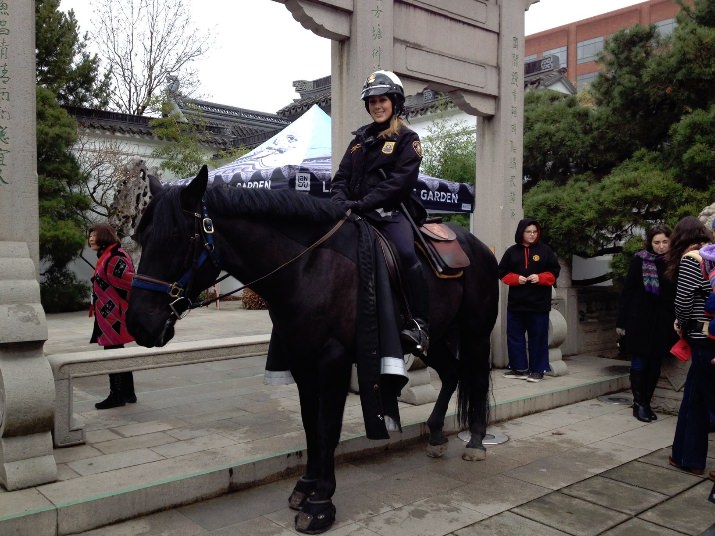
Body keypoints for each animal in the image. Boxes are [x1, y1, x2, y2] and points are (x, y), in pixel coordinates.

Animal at [126, 165, 498, 532]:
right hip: (436, 338)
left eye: (179, 239)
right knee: (452, 372)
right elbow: (310, 424)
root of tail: (478, 246)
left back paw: (477, 442)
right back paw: (435, 435)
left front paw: (321, 503)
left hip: (475, 331)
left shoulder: (333, 360)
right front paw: (306, 486)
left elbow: (328, 425)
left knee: (477, 379)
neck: (309, 267)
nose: (139, 324)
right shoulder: (302, 360)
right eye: (142, 239)